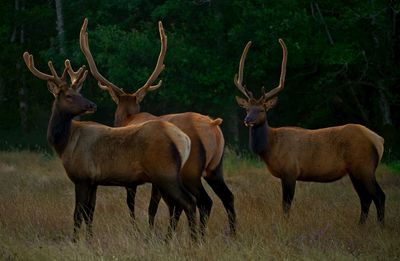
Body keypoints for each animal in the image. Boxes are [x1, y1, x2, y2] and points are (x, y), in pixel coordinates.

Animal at [22, 50, 198, 240]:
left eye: (79, 94)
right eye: (69, 96)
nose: (92, 105)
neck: (64, 143)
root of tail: (183, 139)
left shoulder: (81, 176)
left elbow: (77, 214)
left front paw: (75, 241)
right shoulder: (93, 181)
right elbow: (89, 214)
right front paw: (89, 239)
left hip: (165, 173)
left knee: (188, 202)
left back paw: (194, 240)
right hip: (165, 177)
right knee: (180, 204)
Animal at [79, 17, 234, 235]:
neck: (127, 118)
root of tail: (212, 125)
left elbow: (139, 204)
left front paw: (141, 230)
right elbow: (163, 206)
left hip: (190, 169)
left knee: (203, 201)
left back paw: (198, 235)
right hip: (215, 167)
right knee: (227, 197)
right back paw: (231, 234)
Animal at [234, 38, 384, 223]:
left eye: (262, 110)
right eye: (247, 109)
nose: (247, 120)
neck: (270, 147)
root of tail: (379, 140)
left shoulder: (290, 171)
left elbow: (286, 206)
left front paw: (286, 224)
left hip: (364, 166)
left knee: (378, 196)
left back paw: (379, 225)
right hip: (357, 170)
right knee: (366, 198)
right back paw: (362, 225)